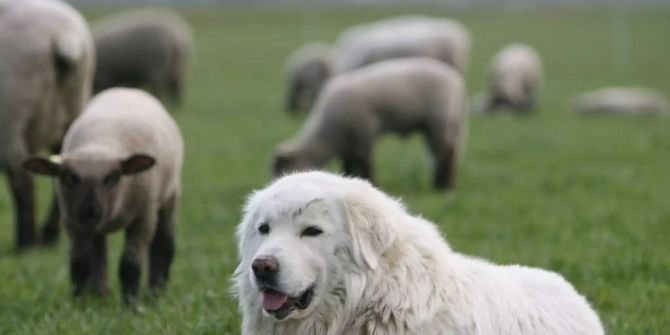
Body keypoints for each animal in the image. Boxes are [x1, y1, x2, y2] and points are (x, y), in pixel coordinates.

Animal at [0, 0, 94, 249]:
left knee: (21, 178)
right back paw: (49, 234)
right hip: (73, 105)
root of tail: (61, 36)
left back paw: (26, 242)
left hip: (11, 113)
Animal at [23, 88, 184, 304]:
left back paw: (155, 293)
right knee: (99, 248)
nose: (90, 210)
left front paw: (131, 305)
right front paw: (78, 302)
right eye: (70, 177)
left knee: (164, 244)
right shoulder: (72, 221)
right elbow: (80, 263)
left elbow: (130, 264)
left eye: (112, 177)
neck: (100, 142)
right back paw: (99, 293)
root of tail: (126, 89)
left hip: (169, 197)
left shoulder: (143, 217)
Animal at [272, 57, 468, 192]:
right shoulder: (348, 143)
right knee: (447, 153)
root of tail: (456, 82)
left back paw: (441, 186)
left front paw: (371, 183)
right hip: (442, 124)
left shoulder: (363, 132)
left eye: (284, 171)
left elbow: (365, 163)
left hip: (439, 120)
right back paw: (446, 183)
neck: (328, 133)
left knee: (445, 153)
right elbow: (348, 165)